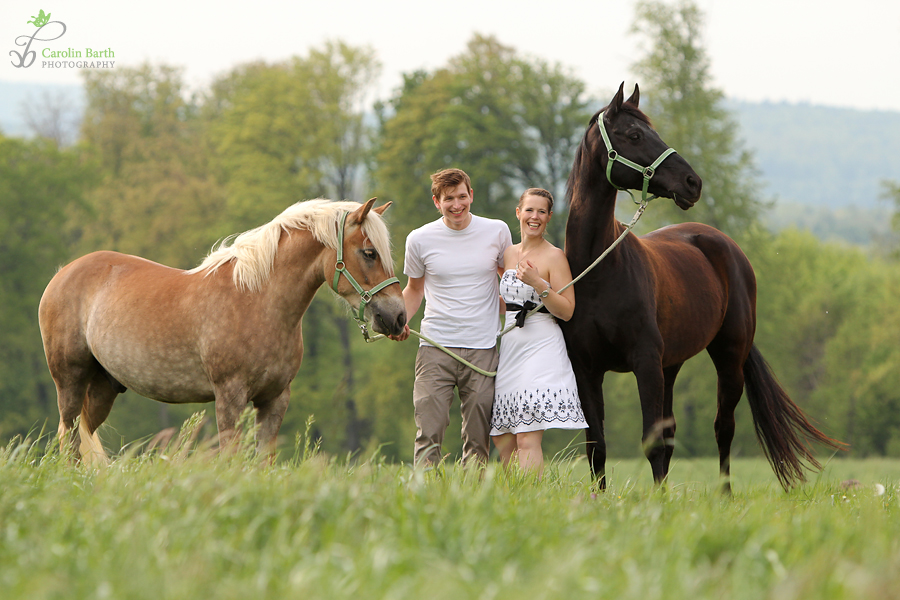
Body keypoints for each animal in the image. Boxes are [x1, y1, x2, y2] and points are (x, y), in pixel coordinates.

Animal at [38, 199, 404, 462]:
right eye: (369, 252)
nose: (397, 317)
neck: (257, 299)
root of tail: (63, 273)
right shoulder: (229, 397)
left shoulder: (275, 399)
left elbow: (264, 462)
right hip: (69, 381)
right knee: (69, 439)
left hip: (104, 387)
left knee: (82, 435)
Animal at [564, 84, 844, 490]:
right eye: (634, 135)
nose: (692, 183)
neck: (598, 270)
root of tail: (721, 242)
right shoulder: (586, 369)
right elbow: (597, 445)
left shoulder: (644, 362)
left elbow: (651, 442)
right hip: (671, 365)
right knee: (672, 435)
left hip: (727, 357)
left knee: (722, 429)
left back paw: (725, 495)